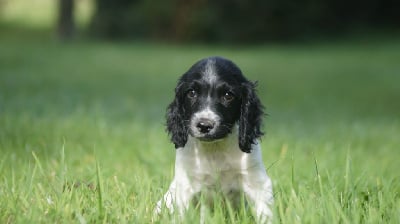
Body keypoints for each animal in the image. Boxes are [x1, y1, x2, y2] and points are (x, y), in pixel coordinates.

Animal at [155, 56, 274, 222]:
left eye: (228, 95)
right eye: (192, 93)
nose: (204, 125)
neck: (215, 149)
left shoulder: (257, 182)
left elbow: (265, 214)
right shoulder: (185, 185)